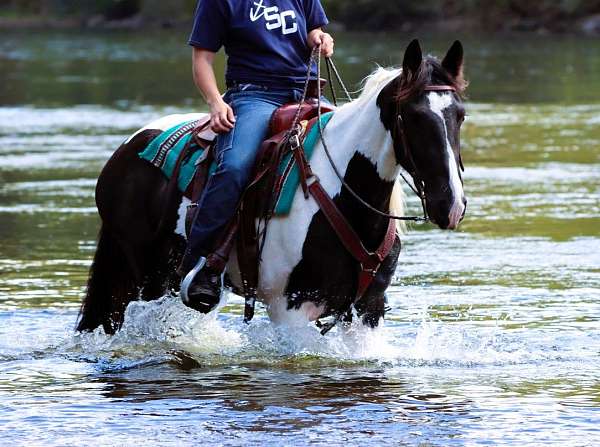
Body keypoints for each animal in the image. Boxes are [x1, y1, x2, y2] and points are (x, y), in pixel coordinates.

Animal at [76, 40, 468, 336]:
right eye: (414, 116)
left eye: (460, 114)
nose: (451, 204)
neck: (344, 197)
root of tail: (125, 151)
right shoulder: (291, 309)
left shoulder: (368, 309)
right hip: (145, 277)